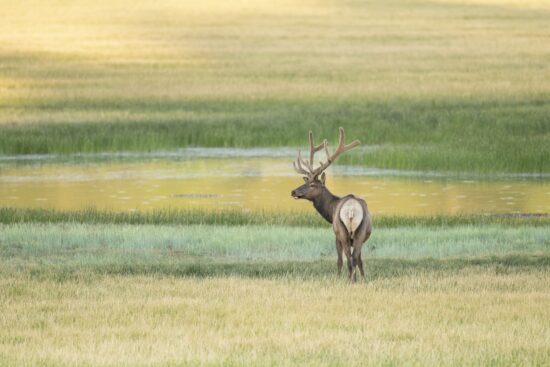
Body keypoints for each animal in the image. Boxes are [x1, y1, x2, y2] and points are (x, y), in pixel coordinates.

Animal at [292, 128, 374, 280]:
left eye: (312, 185)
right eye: (306, 182)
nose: (293, 191)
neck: (331, 211)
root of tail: (351, 210)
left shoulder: (336, 235)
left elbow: (339, 260)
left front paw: (337, 277)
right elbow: (360, 261)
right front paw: (364, 279)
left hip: (342, 232)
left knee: (348, 259)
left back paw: (349, 280)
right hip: (360, 231)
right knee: (355, 258)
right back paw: (354, 280)